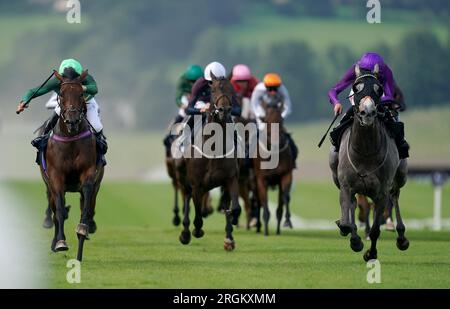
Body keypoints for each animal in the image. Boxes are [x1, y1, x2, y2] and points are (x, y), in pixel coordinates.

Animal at [179, 74, 243, 250]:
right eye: (212, 90)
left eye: (231, 90)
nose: (224, 110)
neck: (214, 148)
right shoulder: (196, 184)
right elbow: (197, 215)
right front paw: (196, 230)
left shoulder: (231, 179)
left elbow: (234, 208)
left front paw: (229, 238)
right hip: (185, 179)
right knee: (186, 198)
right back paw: (185, 233)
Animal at [253, 95, 296, 235]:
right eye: (267, 121)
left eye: (281, 120)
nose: (277, 142)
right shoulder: (261, 179)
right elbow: (264, 201)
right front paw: (266, 230)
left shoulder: (286, 174)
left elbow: (285, 197)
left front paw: (287, 221)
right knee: (258, 200)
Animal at [328, 64, 410, 260]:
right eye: (356, 88)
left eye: (379, 89)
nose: (368, 112)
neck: (365, 152)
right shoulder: (346, 186)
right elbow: (347, 220)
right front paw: (353, 238)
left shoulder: (381, 192)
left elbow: (375, 230)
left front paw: (370, 253)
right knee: (354, 205)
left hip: (400, 176)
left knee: (395, 196)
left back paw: (401, 237)